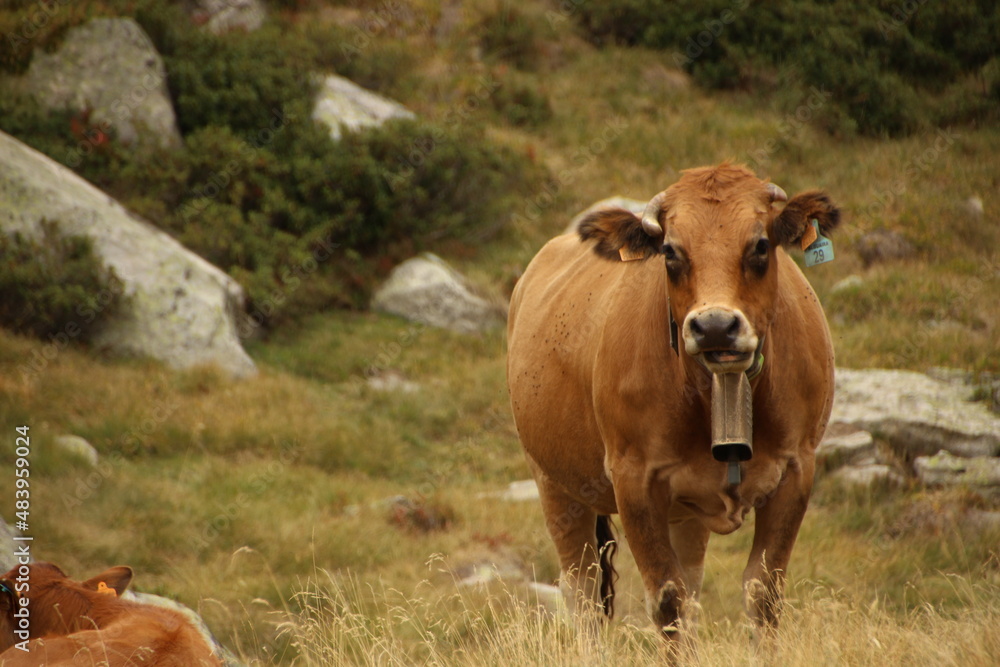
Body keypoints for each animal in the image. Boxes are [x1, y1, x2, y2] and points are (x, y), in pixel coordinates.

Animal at [504, 162, 840, 640]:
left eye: (760, 244)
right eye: (669, 251)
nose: (715, 326)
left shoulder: (797, 468)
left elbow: (763, 594)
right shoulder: (634, 479)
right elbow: (667, 600)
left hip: (686, 512)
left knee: (691, 586)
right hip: (554, 483)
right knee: (583, 593)